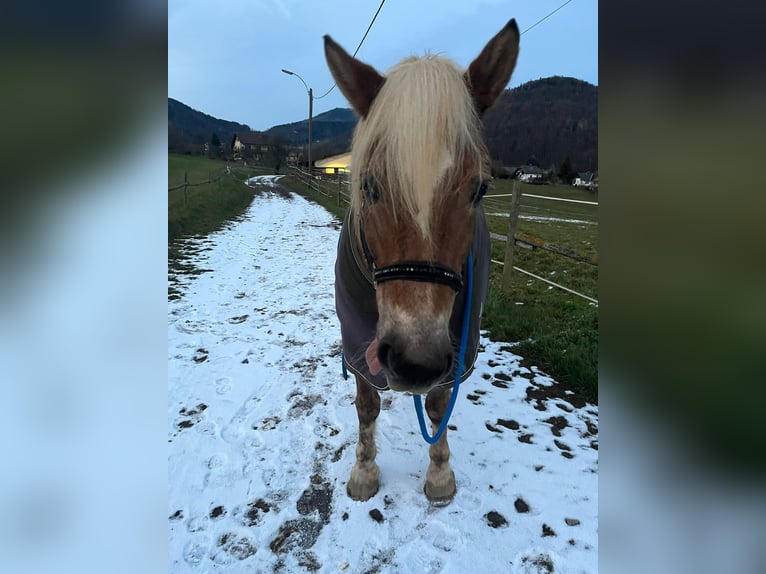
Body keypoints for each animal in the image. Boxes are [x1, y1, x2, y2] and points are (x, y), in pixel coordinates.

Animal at [326, 19, 520, 504]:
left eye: (480, 189)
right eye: (370, 185)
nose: (414, 364)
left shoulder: (458, 343)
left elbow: (437, 403)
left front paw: (439, 475)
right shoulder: (357, 342)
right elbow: (367, 404)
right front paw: (364, 472)